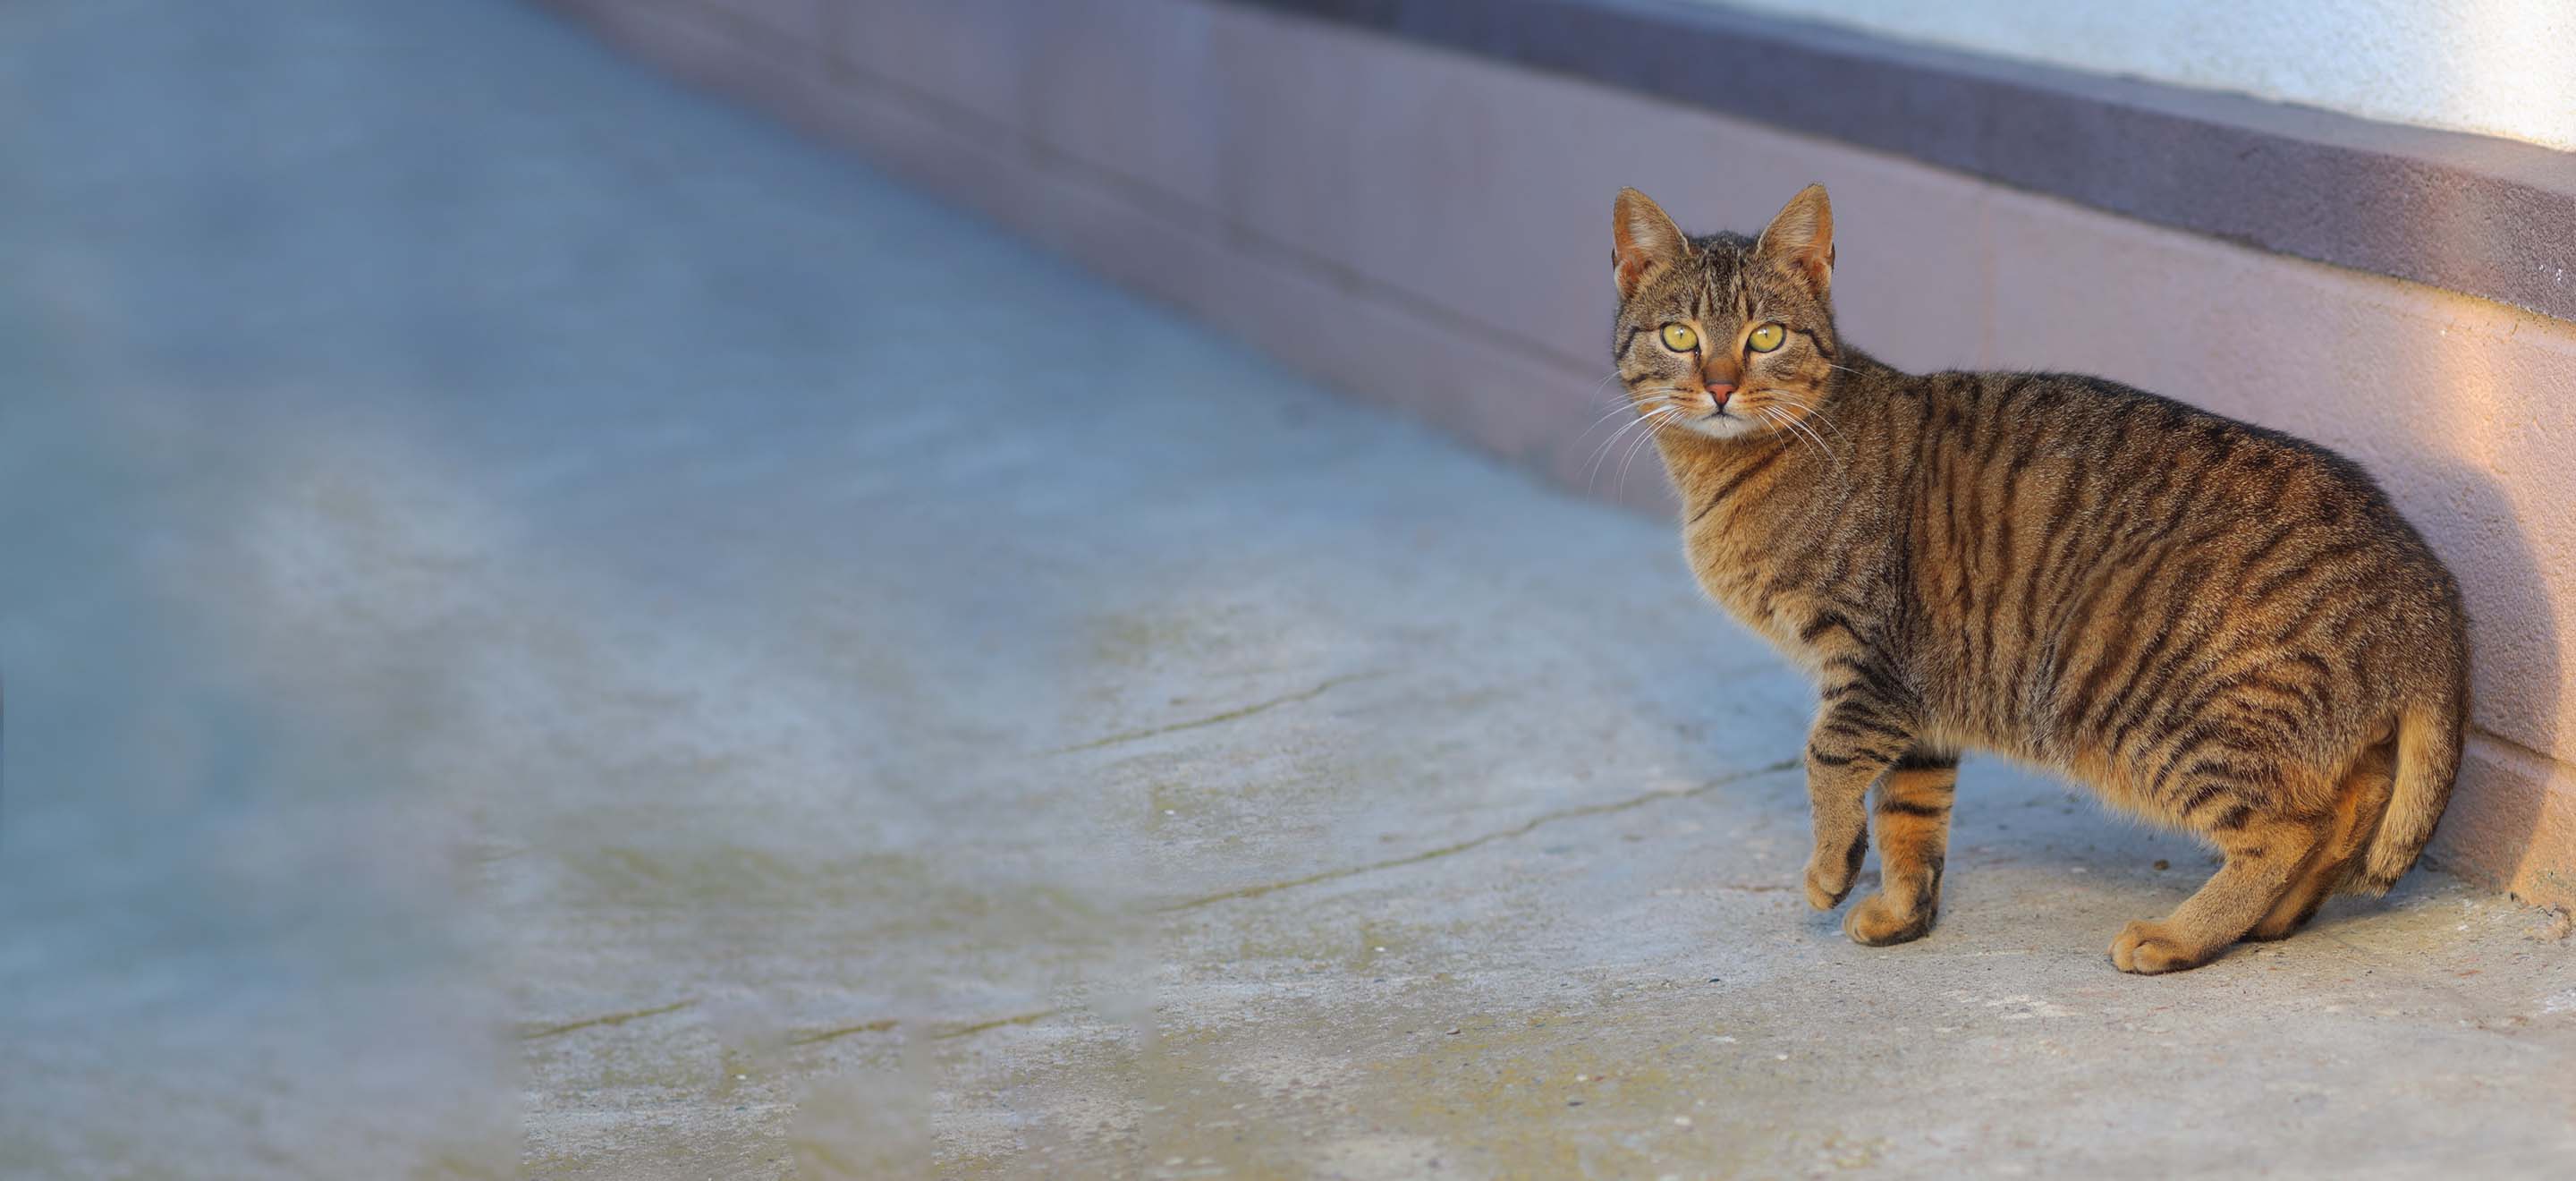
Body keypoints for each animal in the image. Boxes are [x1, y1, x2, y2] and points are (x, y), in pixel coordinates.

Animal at [1607, 184, 2472, 974]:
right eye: (1680, 335)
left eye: (1767, 336)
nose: (1720, 386)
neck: (1731, 469)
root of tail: (2428, 584)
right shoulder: (1921, 701)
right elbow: (1910, 814)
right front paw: (1901, 910)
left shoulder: (1871, 663)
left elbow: (1828, 759)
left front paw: (1829, 869)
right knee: (2347, 812)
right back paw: (2277, 919)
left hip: (2162, 716)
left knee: (2286, 831)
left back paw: (2183, 936)